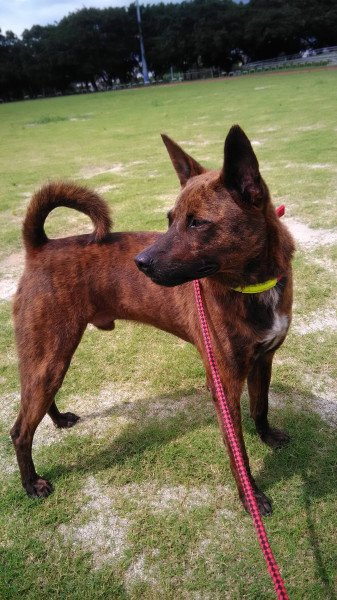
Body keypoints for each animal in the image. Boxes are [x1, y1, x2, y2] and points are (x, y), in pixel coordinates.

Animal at [10, 125, 294, 516]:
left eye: (198, 222)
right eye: (169, 219)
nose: (140, 263)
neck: (252, 286)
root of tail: (40, 246)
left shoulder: (264, 360)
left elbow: (262, 407)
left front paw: (267, 437)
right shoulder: (224, 384)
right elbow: (238, 452)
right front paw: (250, 496)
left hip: (51, 356)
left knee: (35, 400)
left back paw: (58, 420)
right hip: (49, 354)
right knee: (20, 430)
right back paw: (30, 483)